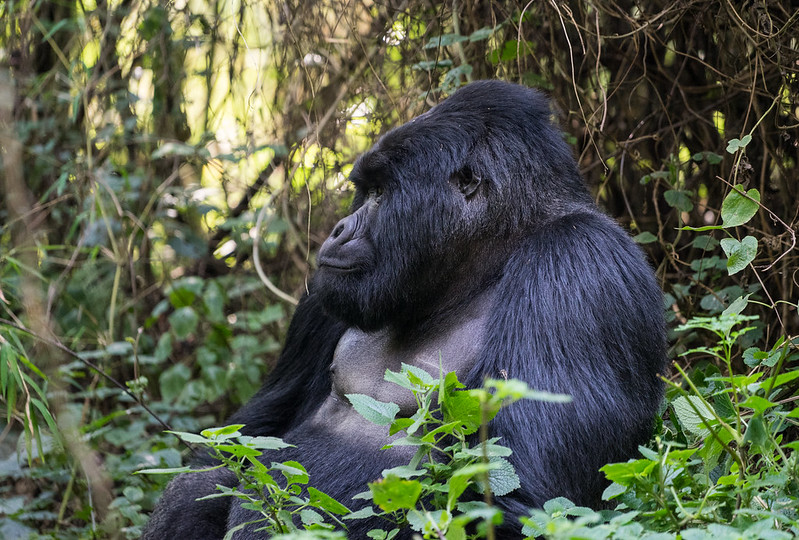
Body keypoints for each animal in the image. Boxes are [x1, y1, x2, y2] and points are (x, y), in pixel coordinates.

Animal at [144, 81, 668, 540]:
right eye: (365, 189)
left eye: (380, 193)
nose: (336, 230)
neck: (490, 256)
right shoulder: (325, 293)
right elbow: (243, 443)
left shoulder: (577, 262)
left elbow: (520, 496)